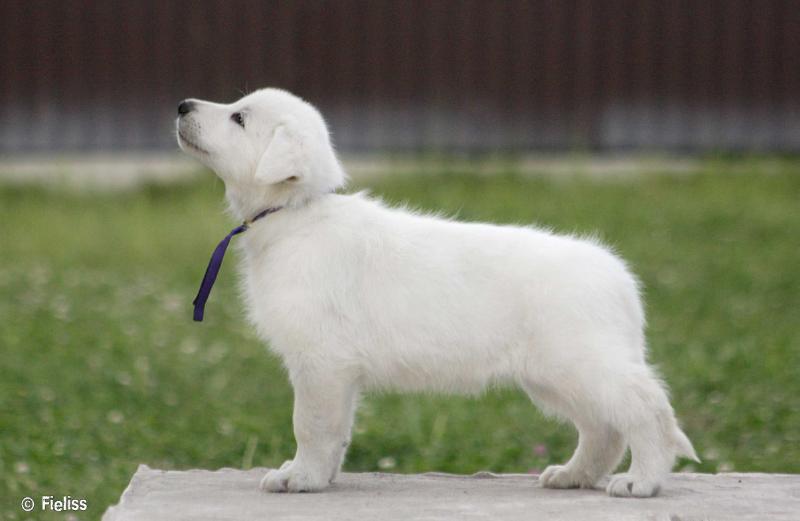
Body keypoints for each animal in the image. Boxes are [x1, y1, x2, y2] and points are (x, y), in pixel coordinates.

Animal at [173, 86, 692, 496]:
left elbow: (311, 425)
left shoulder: (321, 362)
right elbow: (337, 430)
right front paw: (321, 476)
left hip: (582, 362)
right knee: (604, 429)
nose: (181, 105)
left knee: (647, 411)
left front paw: (300, 477)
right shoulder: (338, 372)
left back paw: (642, 480)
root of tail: (618, 274)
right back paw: (574, 475)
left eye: (239, 117)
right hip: (555, 375)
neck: (296, 212)